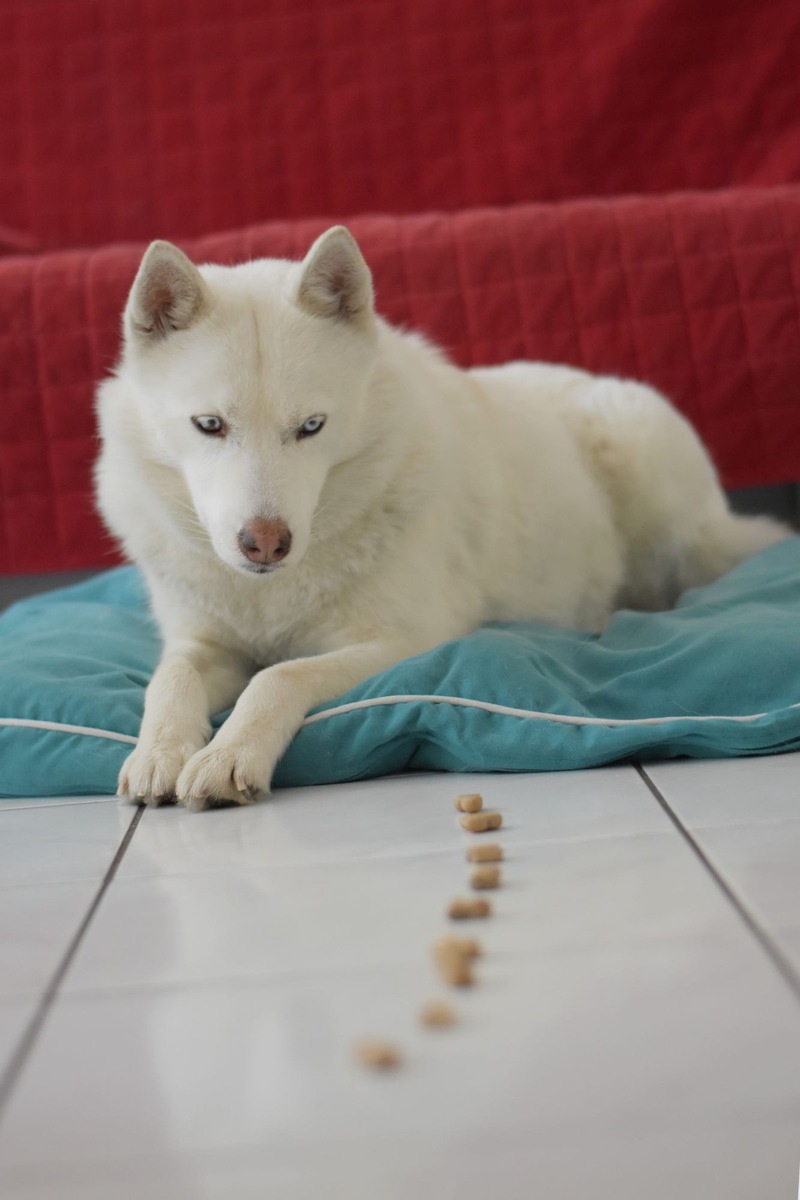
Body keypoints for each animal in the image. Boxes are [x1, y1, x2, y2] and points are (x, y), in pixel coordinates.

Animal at [95, 226, 786, 806]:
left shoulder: (403, 641)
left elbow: (279, 677)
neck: (271, 594)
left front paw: (229, 754)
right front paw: (159, 751)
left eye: (312, 427)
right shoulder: (201, 643)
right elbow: (169, 680)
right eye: (209, 425)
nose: (265, 543)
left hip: (658, 494)